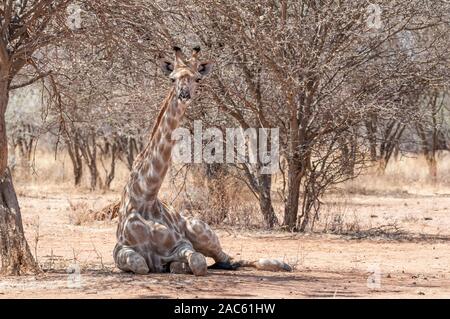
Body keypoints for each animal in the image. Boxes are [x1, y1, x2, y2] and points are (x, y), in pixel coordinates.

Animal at [112, 46, 292, 276]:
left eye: (197, 78)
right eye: (172, 78)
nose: (184, 94)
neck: (146, 196)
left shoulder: (182, 244)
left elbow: (198, 263)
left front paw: (180, 266)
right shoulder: (121, 250)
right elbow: (141, 265)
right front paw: (173, 266)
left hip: (200, 229)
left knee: (228, 259)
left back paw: (281, 263)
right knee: (223, 262)